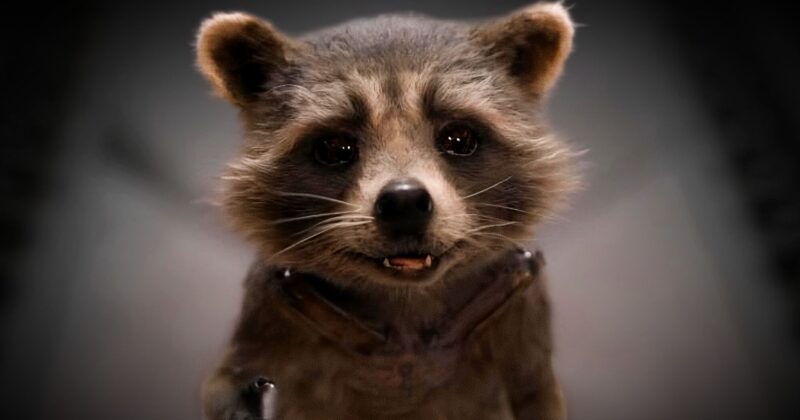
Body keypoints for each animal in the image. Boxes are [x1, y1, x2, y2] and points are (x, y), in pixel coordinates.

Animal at [196, 2, 577, 419]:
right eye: (335, 147)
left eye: (458, 138)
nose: (404, 201)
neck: (405, 299)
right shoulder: (267, 314)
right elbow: (223, 387)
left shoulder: (522, 308)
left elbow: (536, 396)